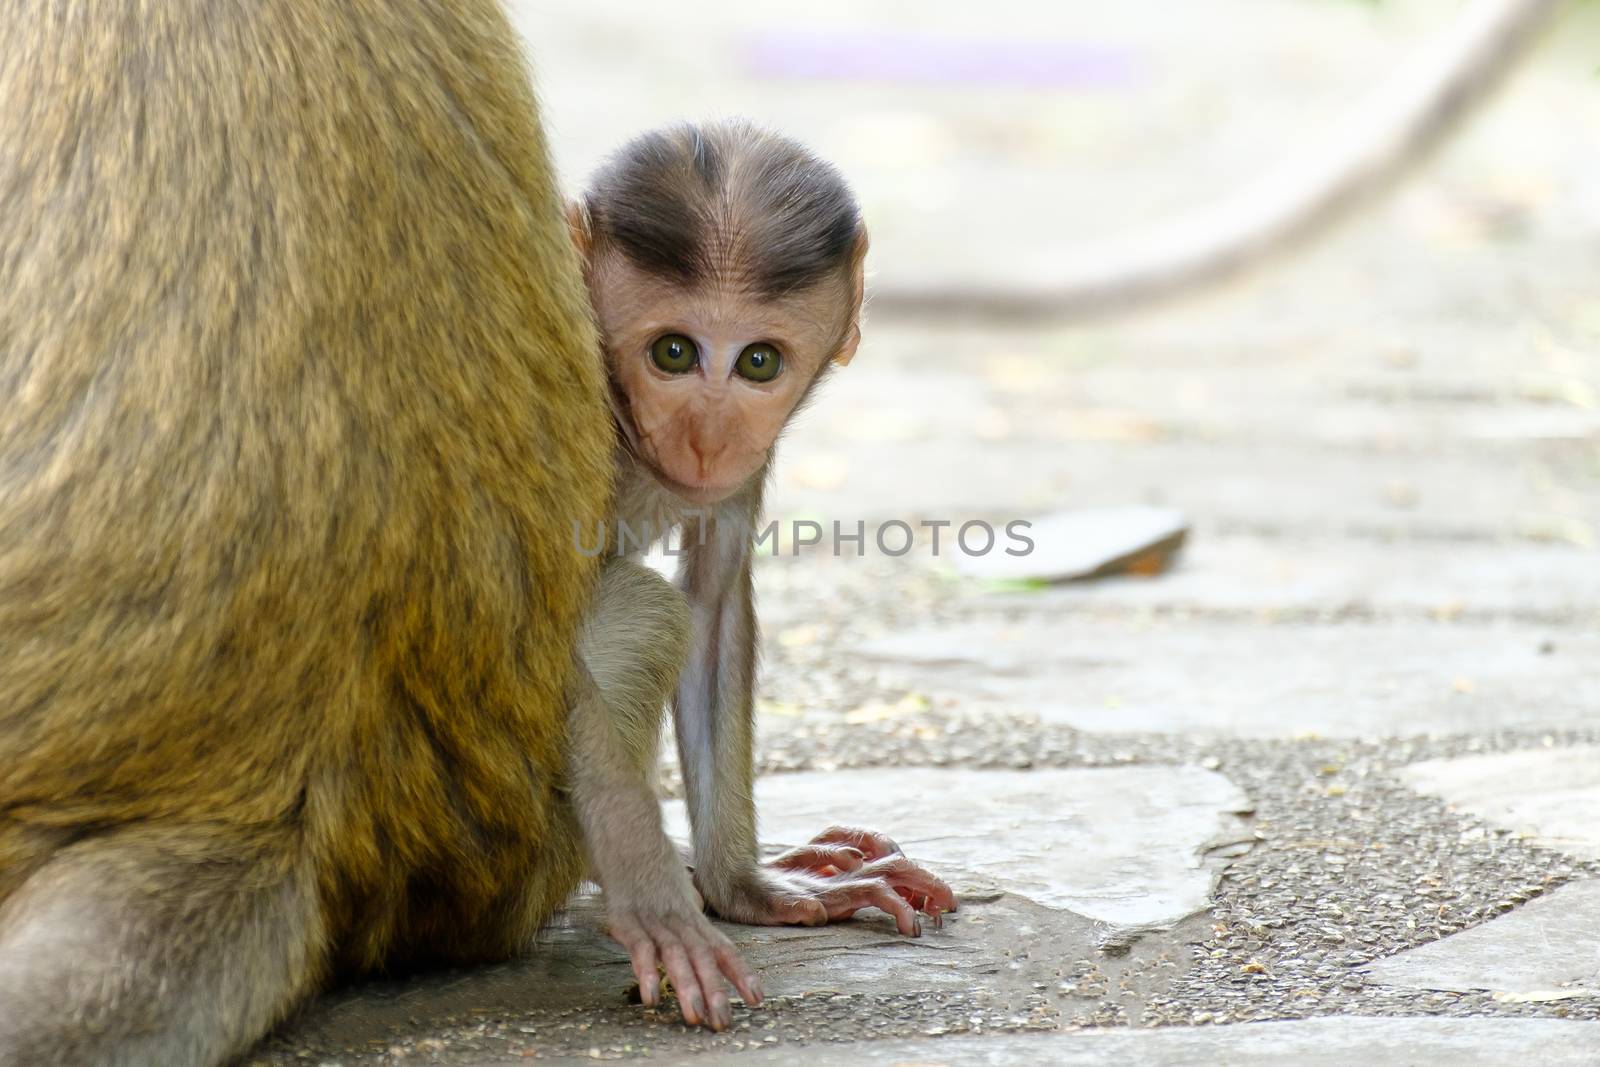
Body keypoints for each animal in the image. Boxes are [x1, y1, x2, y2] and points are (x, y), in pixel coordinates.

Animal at [563, 120, 953, 1030]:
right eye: (673, 351)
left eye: (759, 363)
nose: (709, 438)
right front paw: (644, 876)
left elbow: (711, 605)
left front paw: (744, 888)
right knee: (638, 607)